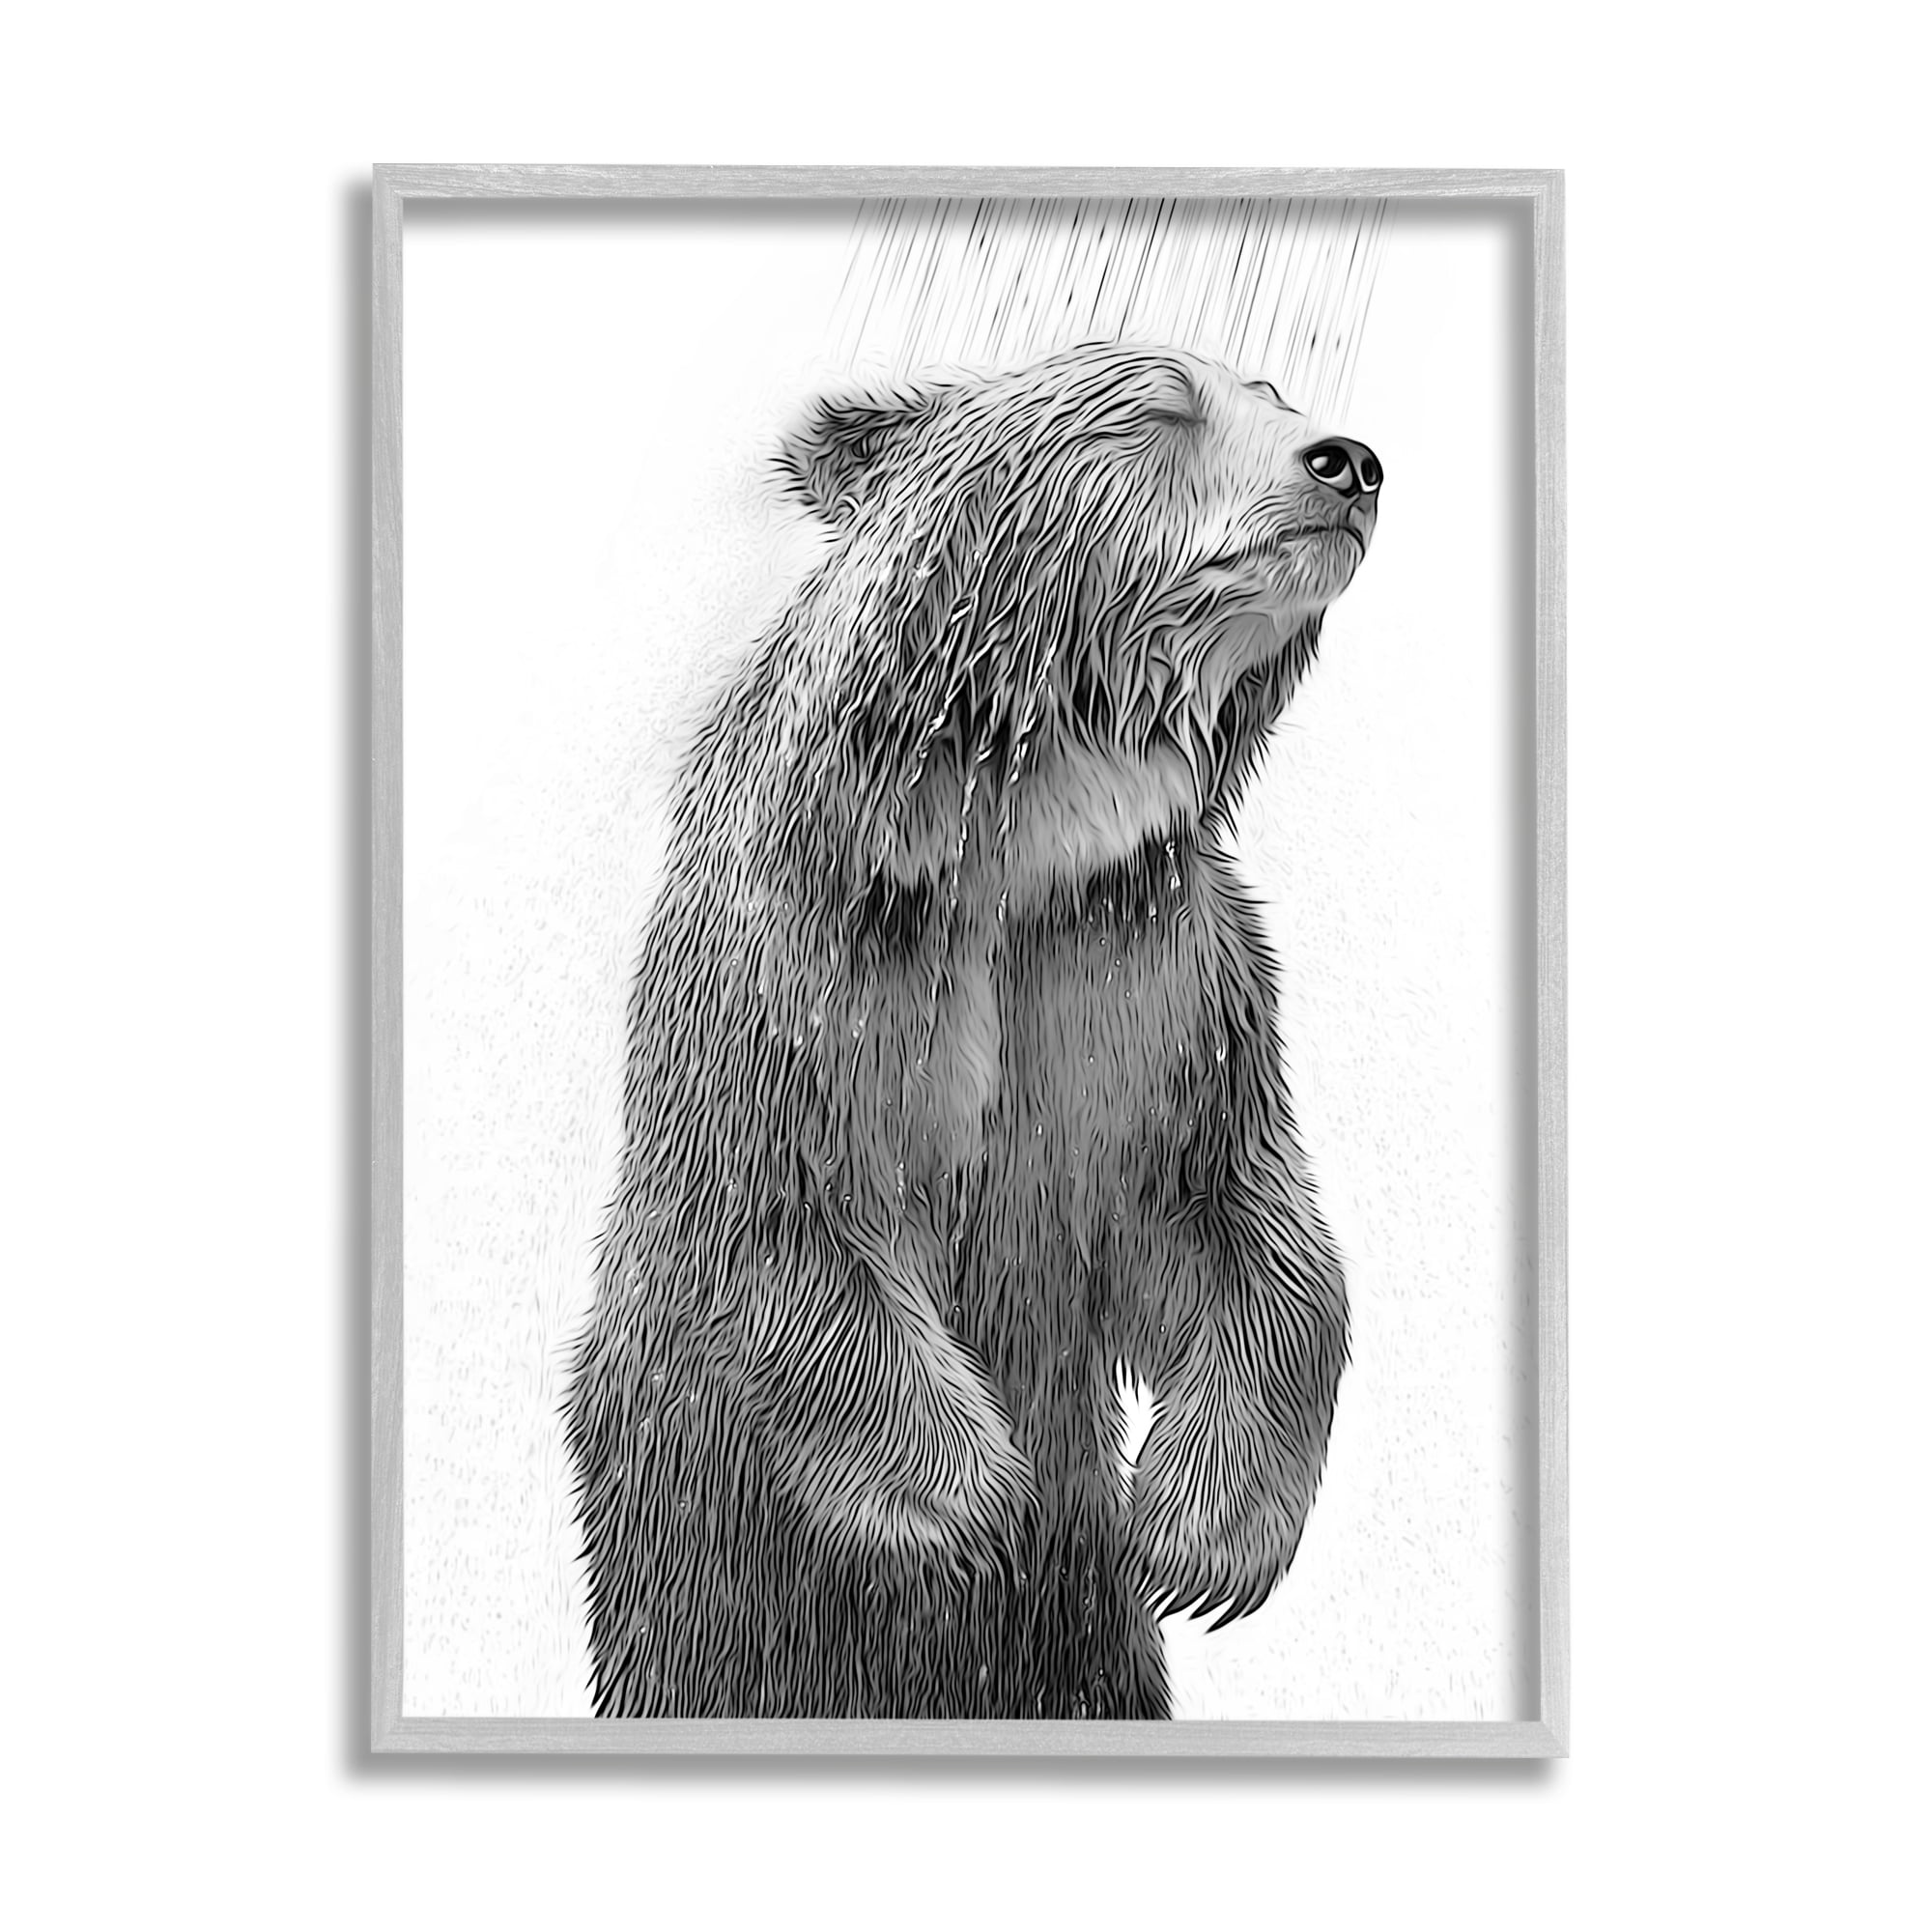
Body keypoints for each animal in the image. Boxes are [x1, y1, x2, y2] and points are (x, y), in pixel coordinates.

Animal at [564, 341, 1380, 1720]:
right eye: (1157, 407)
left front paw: (1196, 1538)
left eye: (1272, 395)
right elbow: (783, 1204)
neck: (1024, 833)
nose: (1348, 459)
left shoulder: (1150, 969)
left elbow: (1233, 1213)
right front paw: (966, 1507)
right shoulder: (819, 953)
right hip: (696, 1581)